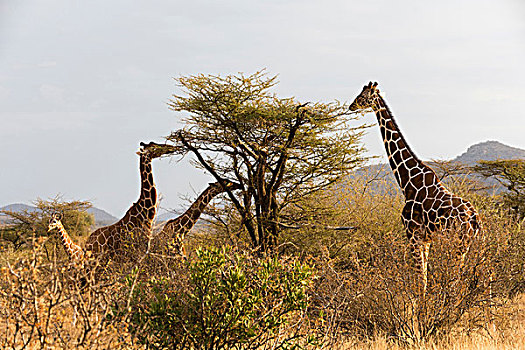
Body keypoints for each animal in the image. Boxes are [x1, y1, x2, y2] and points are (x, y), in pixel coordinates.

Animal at [348, 83, 478, 294]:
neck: (407, 182)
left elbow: (420, 281)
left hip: (456, 242)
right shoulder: (425, 239)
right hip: (466, 245)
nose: (351, 106)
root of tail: (475, 219)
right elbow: (423, 278)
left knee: (456, 281)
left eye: (363, 96)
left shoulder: (412, 234)